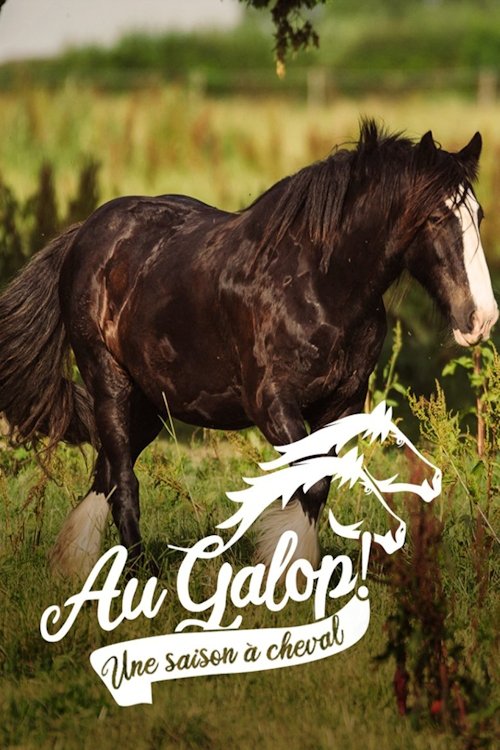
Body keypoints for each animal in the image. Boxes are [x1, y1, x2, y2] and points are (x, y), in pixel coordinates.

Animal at [0, 120, 497, 577]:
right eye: (435, 218)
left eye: (478, 216)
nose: (482, 319)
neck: (320, 284)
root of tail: (87, 232)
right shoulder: (272, 404)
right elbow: (304, 480)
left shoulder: (342, 403)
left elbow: (318, 485)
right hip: (110, 384)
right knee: (123, 481)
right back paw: (141, 577)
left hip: (151, 404)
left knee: (105, 475)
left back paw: (76, 564)